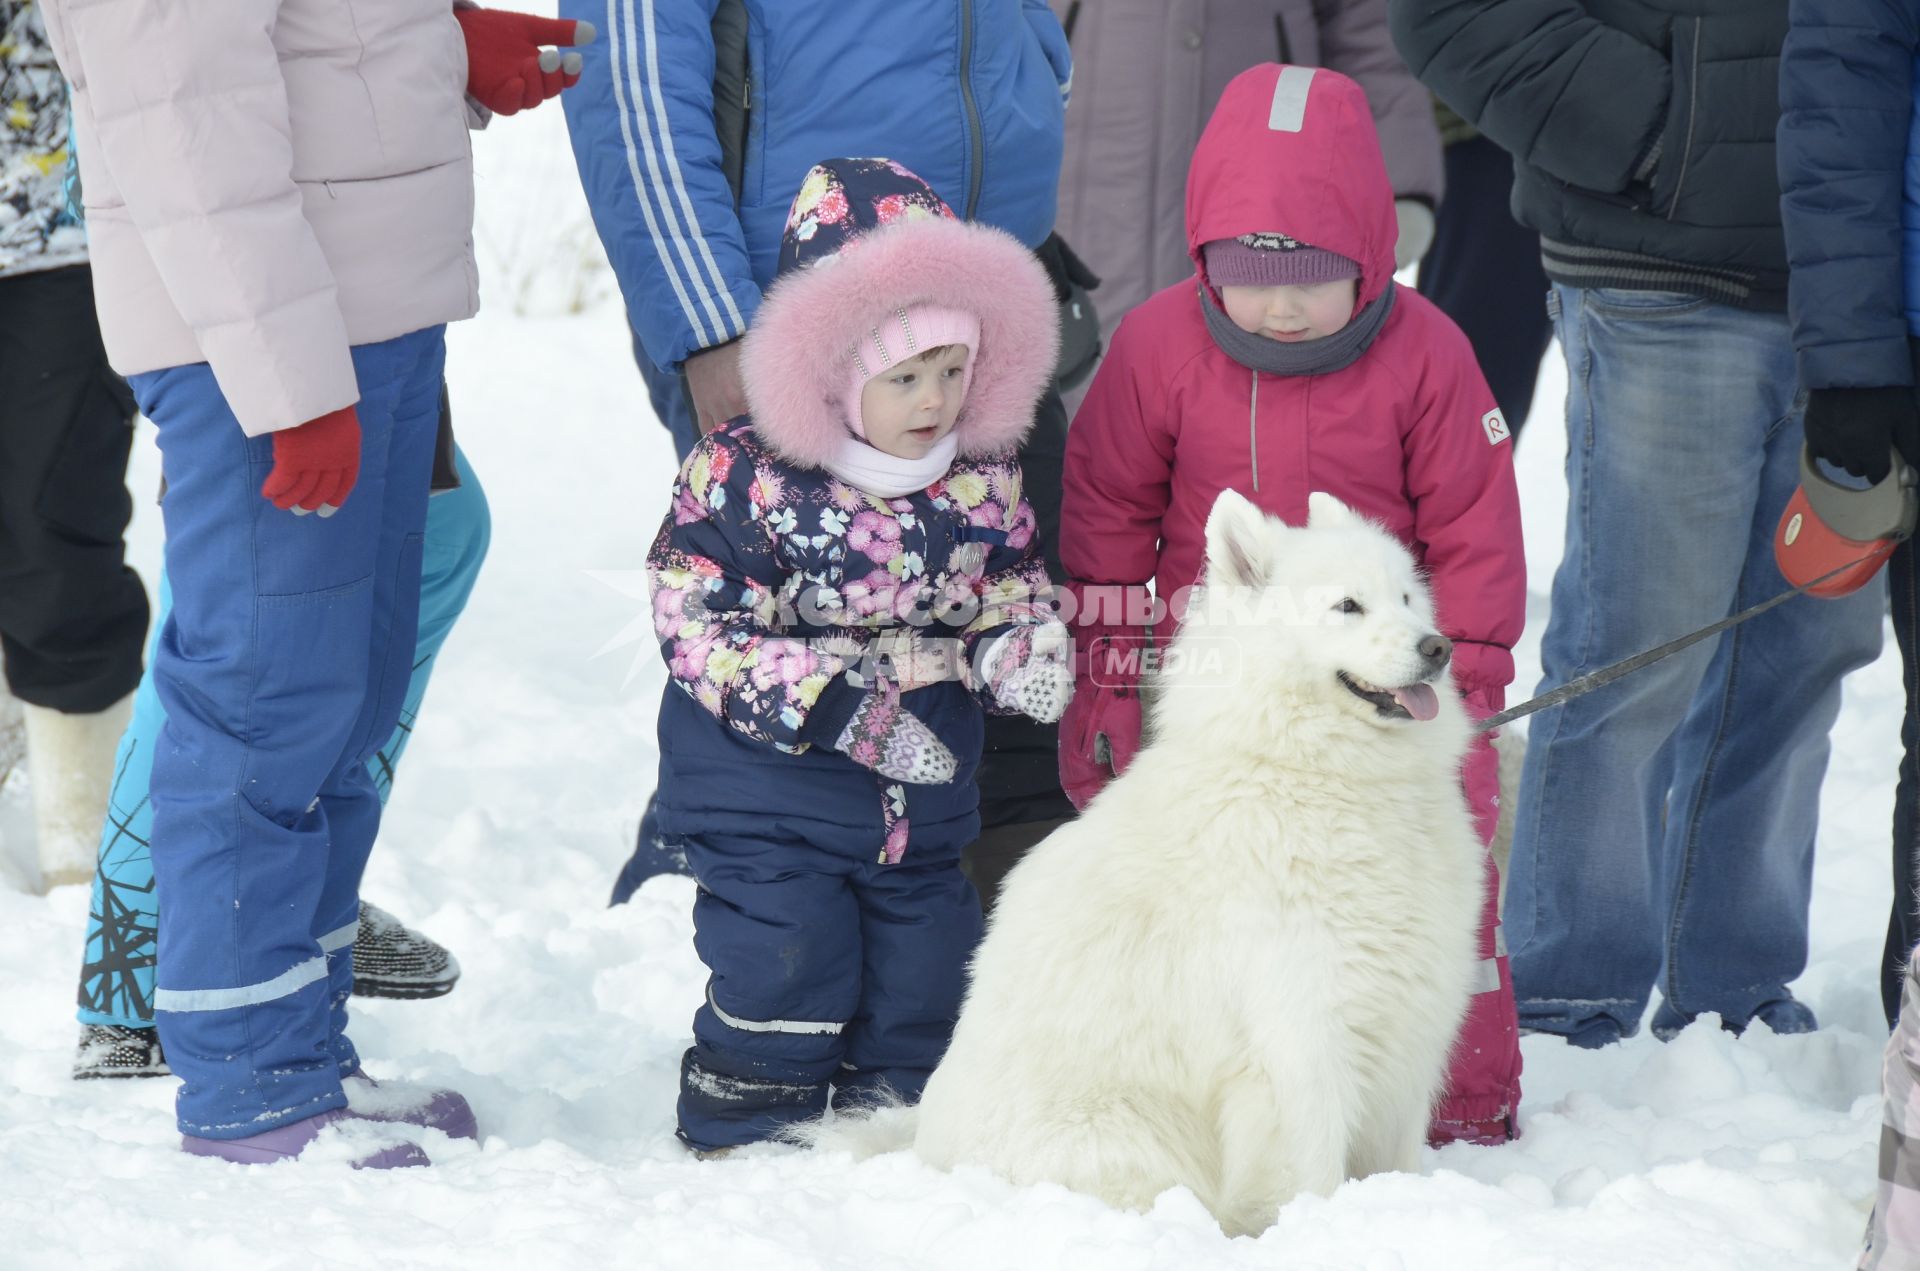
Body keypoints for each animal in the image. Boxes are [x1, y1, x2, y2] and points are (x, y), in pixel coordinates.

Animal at [910, 487, 1482, 1236]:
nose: (1439, 647)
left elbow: (1398, 1159)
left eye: (1409, 598)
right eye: (1348, 606)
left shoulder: (1409, 1024)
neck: (1311, 775)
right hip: (1129, 1139)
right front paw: (1320, 1231)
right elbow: (1314, 1174)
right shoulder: (1300, 1041)